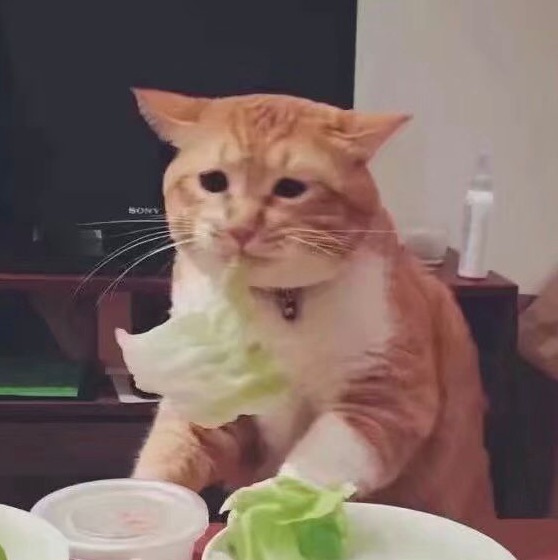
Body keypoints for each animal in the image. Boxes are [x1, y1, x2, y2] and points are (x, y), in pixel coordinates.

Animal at [129, 89, 495, 525]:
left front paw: (263, 507)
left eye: (290, 188)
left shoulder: (388, 399)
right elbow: (166, 455)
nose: (240, 227)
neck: (281, 302)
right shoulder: (207, 395)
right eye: (213, 181)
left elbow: (311, 467)